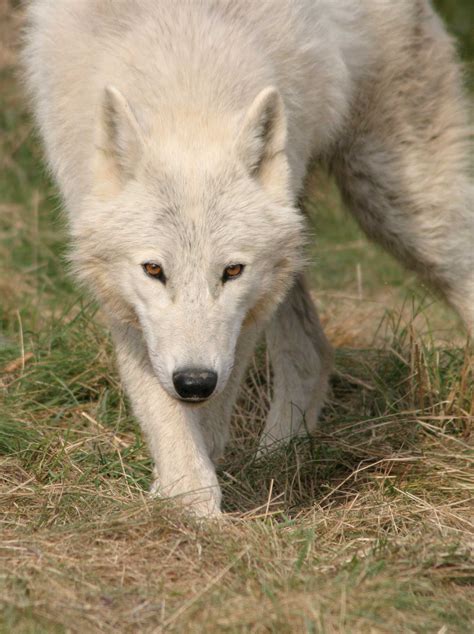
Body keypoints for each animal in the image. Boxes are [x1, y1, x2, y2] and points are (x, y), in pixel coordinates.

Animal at [23, 1, 474, 512]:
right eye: (154, 270)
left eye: (232, 271)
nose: (194, 381)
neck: (187, 71)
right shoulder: (125, 304)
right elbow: (167, 413)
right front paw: (184, 498)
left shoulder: (244, 314)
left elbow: (209, 413)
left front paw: (192, 504)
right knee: (312, 352)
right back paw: (278, 458)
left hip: (397, 207)